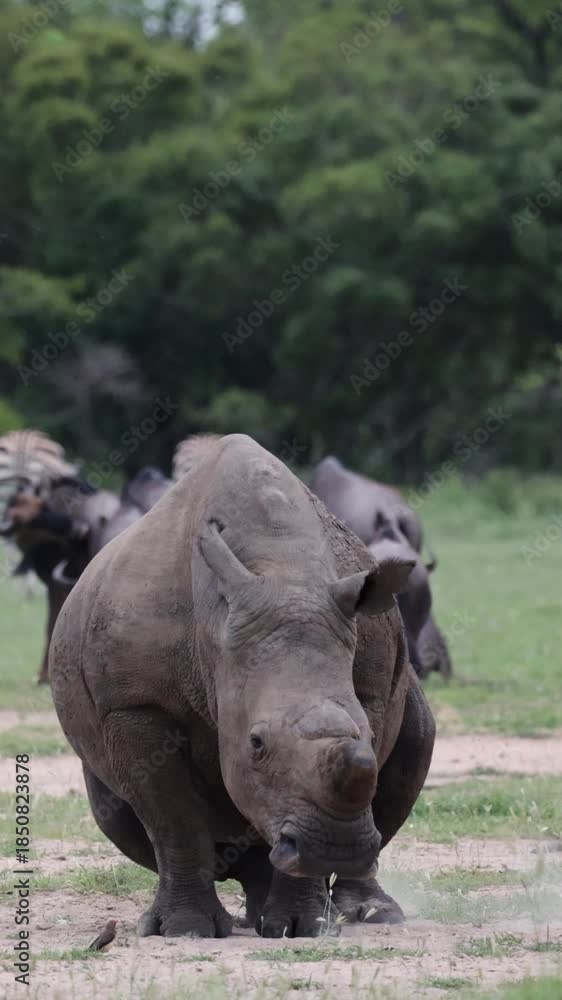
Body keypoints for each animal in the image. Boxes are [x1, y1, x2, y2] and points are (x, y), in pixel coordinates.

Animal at [50, 434, 435, 939]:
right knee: (117, 813)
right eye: (256, 743)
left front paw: (303, 926)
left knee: (417, 738)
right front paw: (186, 930)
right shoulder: (135, 705)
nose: (333, 847)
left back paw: (361, 914)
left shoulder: (365, 687)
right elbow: (172, 816)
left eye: (369, 735)